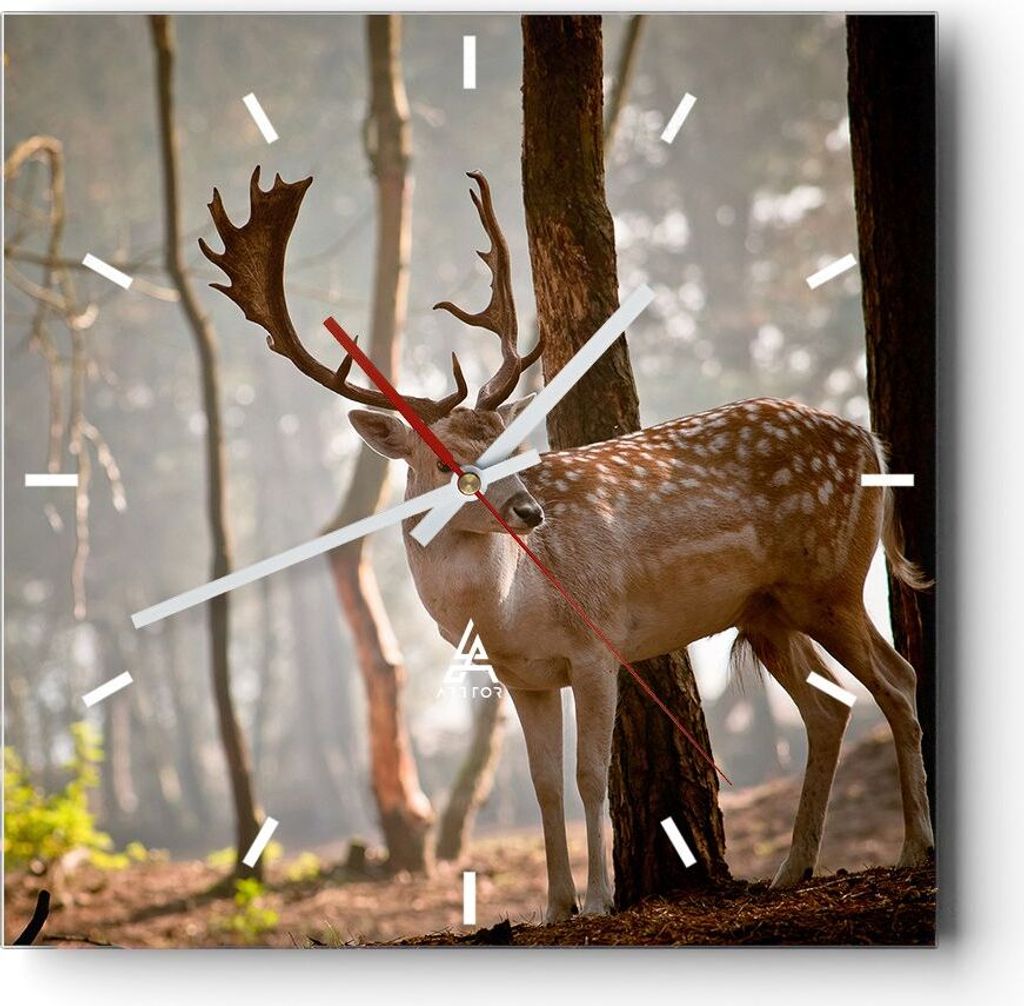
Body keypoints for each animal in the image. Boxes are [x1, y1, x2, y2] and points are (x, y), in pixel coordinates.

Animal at [201, 167, 935, 922]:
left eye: (510, 443)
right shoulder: (523, 676)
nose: (530, 511)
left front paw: (602, 898)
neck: (504, 612)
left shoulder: (597, 643)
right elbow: (543, 781)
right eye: (444, 457)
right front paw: (555, 906)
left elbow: (589, 775)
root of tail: (870, 439)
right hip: (766, 609)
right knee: (830, 708)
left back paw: (913, 848)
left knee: (896, 680)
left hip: (829, 579)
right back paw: (792, 870)